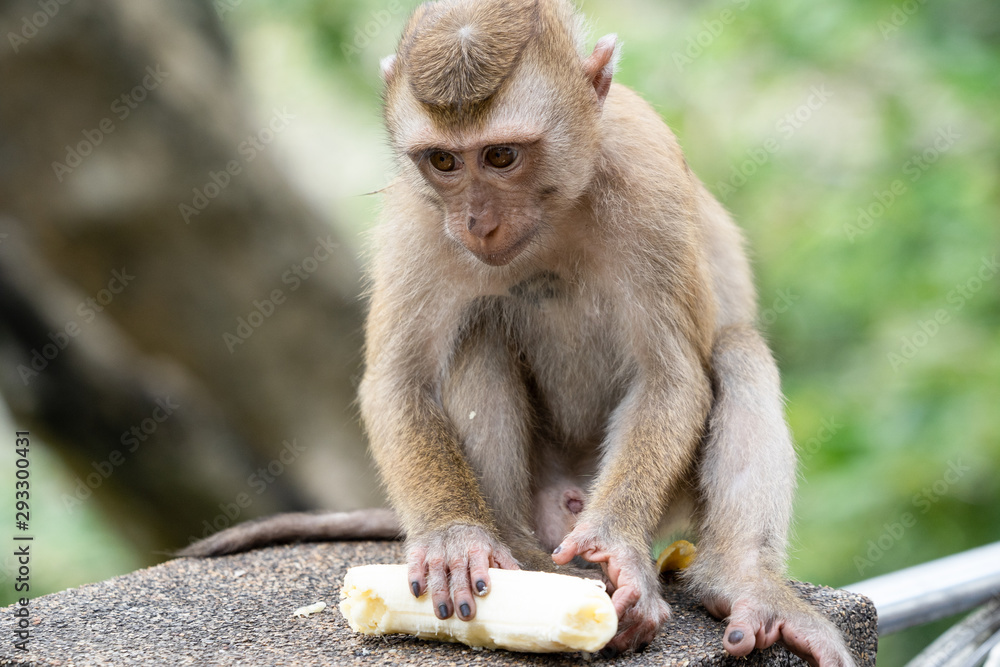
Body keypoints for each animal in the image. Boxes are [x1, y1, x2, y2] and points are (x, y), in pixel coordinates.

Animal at [184, 0, 856, 664]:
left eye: (502, 156)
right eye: (445, 160)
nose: (476, 222)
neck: (553, 216)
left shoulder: (649, 177)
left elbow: (670, 374)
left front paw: (618, 548)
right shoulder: (416, 215)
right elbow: (400, 381)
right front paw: (455, 538)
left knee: (737, 349)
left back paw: (740, 582)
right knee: (476, 336)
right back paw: (515, 553)